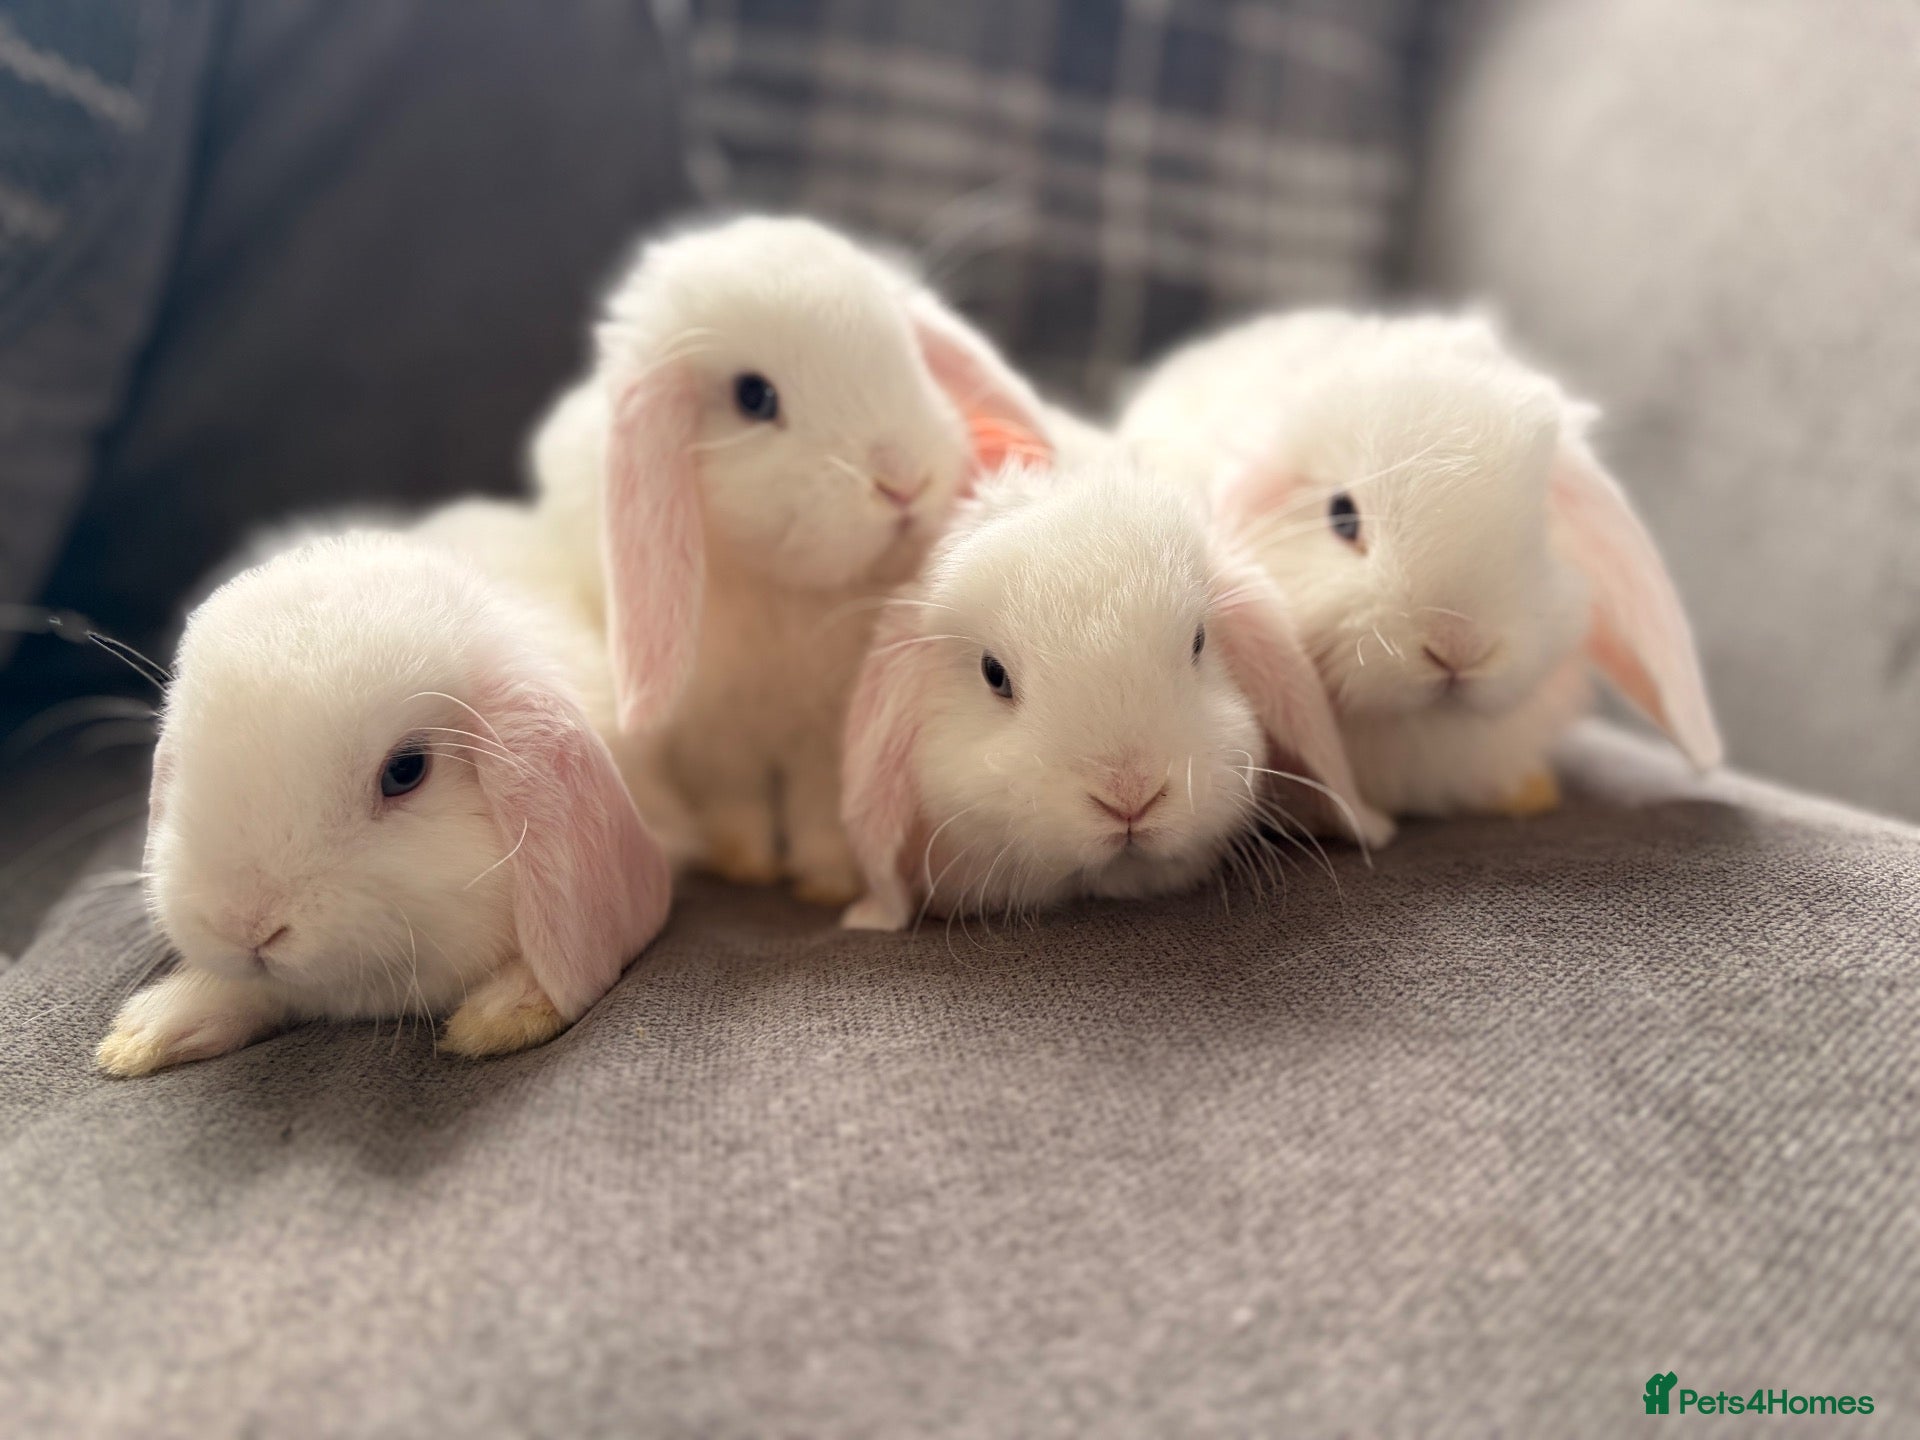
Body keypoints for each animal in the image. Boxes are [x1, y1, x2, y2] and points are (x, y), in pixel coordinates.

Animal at [532, 214, 1056, 907]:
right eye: (754, 397)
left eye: (910, 357)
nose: (903, 483)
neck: (787, 591)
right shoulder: (713, 736)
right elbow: (736, 800)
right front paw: (746, 865)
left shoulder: (825, 737)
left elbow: (819, 809)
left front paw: (826, 883)